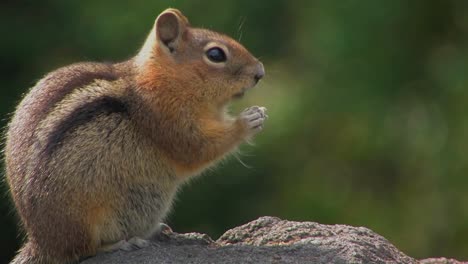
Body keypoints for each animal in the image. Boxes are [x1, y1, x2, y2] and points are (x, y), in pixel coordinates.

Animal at [3, 8, 266, 264]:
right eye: (215, 54)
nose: (260, 73)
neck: (167, 81)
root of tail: (40, 243)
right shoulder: (168, 120)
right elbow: (198, 149)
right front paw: (248, 120)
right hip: (83, 216)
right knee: (82, 250)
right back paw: (121, 243)